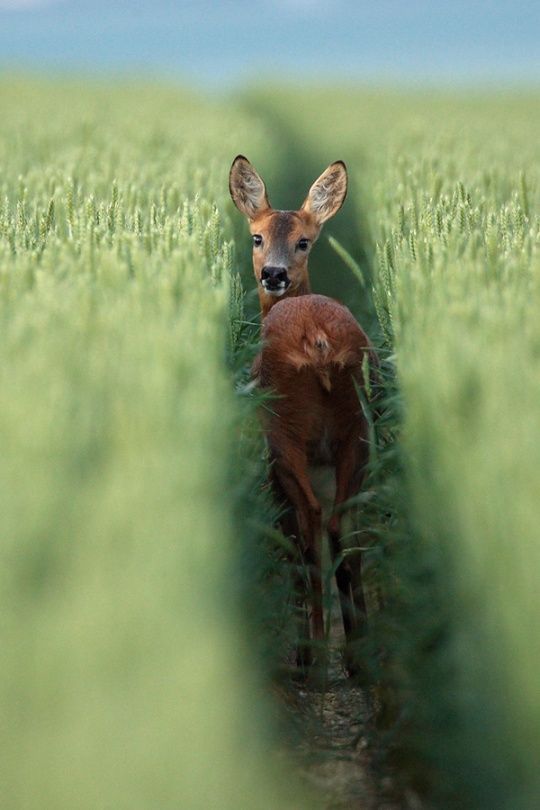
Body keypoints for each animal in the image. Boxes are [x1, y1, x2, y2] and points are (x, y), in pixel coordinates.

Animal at [229, 155, 378, 676]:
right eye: (256, 237)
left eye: (303, 241)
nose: (273, 274)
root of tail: (318, 342)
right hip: (357, 432)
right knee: (343, 529)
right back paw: (355, 653)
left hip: (284, 433)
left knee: (311, 529)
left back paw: (310, 653)